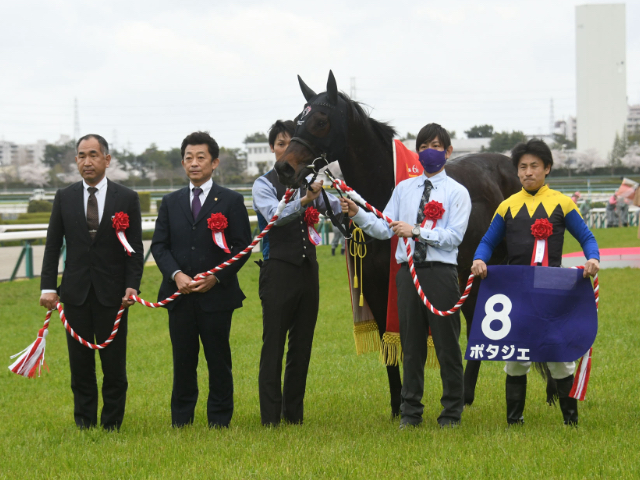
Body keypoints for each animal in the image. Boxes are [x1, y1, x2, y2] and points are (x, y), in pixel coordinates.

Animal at [278, 69, 552, 414]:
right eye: (297, 121)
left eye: (321, 121)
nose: (283, 167)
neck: (384, 195)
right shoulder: (376, 287)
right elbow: (390, 345)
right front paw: (398, 405)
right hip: (473, 273)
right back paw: (468, 395)